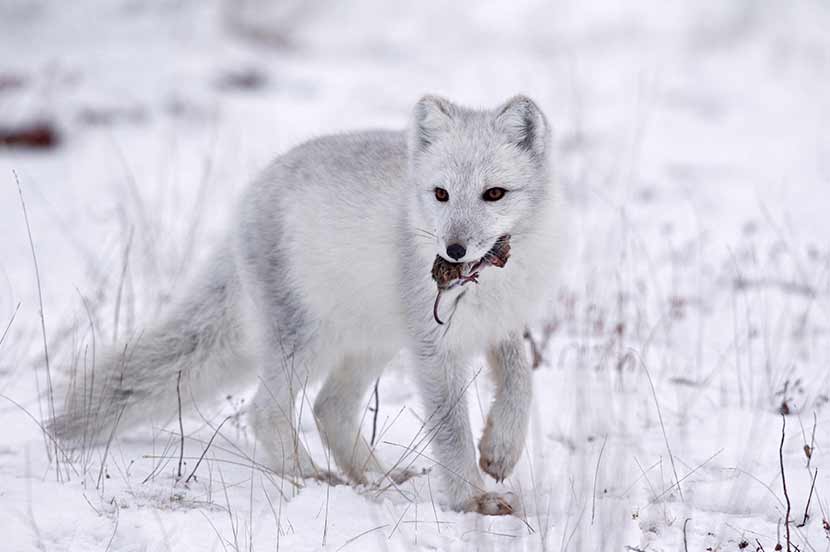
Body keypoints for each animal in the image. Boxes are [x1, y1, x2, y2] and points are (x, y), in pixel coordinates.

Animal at [50, 95, 561, 515]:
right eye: (441, 194)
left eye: (494, 193)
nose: (453, 251)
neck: (488, 282)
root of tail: (250, 195)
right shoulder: (434, 350)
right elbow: (451, 430)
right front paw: (471, 500)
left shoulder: (502, 324)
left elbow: (521, 384)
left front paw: (500, 451)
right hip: (305, 339)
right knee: (266, 411)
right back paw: (313, 477)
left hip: (373, 341)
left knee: (327, 407)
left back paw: (377, 477)